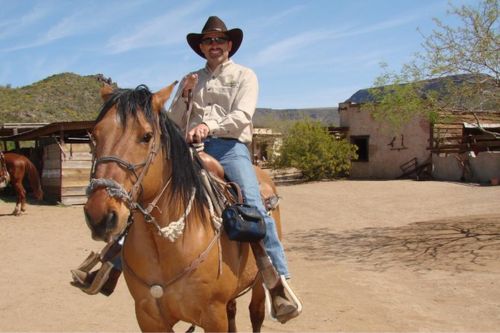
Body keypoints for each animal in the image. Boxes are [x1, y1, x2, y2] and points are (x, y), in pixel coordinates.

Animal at [84, 82, 284, 330]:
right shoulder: (148, 318)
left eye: (146, 136)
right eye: (94, 136)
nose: (99, 216)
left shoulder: (213, 317)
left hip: (257, 283)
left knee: (256, 313)